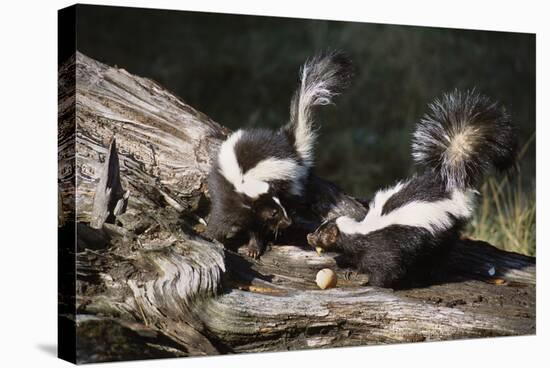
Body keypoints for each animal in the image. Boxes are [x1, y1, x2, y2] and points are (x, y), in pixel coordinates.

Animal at [207, 51, 354, 258]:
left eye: (278, 207)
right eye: (273, 213)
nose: (287, 221)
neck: (244, 182)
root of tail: (288, 144)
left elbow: (257, 229)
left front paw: (254, 247)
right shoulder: (227, 195)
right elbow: (221, 218)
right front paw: (214, 236)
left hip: (290, 181)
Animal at [308, 89, 520, 288]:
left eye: (322, 234)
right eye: (319, 229)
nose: (309, 236)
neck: (361, 231)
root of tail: (450, 185)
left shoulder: (384, 248)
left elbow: (386, 270)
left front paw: (369, 282)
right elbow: (358, 258)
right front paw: (351, 270)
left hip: (442, 233)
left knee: (438, 256)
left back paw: (427, 276)